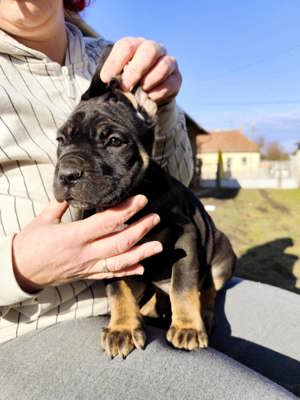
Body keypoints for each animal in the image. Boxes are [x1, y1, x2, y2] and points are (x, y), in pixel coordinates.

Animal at [54, 48, 237, 358]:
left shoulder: (187, 239)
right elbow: (118, 290)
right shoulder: (115, 253)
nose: (66, 174)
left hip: (222, 252)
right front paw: (122, 328)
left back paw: (204, 315)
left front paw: (188, 327)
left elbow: (183, 285)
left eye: (114, 141)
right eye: (60, 139)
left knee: (209, 288)